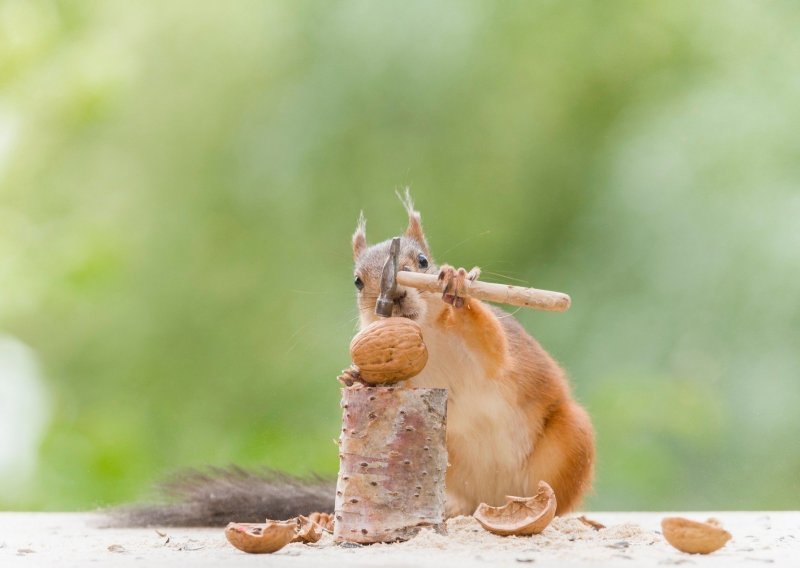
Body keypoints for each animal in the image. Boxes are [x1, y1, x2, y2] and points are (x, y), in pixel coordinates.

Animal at [112, 195, 592, 528]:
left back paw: (546, 511)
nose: (394, 296)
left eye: (423, 261)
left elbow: (491, 344)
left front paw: (457, 284)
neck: (427, 334)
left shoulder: (491, 351)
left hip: (572, 441)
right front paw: (353, 374)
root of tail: (496, 499)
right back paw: (454, 513)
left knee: (560, 497)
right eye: (358, 280)